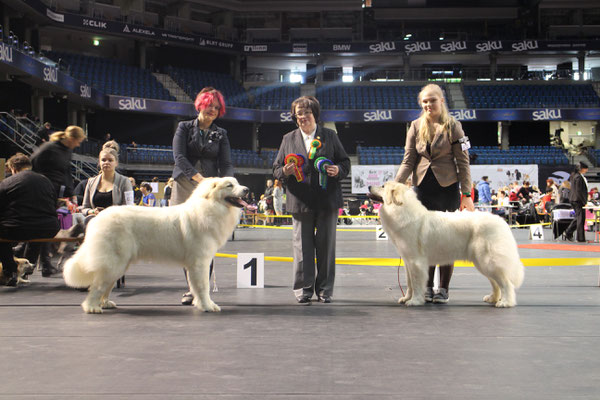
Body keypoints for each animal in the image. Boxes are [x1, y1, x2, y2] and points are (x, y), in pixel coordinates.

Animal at [62, 177, 247, 312]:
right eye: (230, 185)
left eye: (237, 183)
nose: (246, 189)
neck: (210, 206)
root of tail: (98, 217)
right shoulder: (199, 263)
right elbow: (203, 286)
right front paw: (208, 306)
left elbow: (197, 287)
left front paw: (200, 304)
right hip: (114, 262)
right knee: (97, 286)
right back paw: (92, 307)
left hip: (119, 264)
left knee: (106, 285)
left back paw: (105, 303)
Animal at [370, 182, 524, 310]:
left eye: (383, 186)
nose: (369, 187)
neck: (402, 211)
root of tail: (502, 222)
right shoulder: (408, 262)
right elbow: (409, 284)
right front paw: (406, 298)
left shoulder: (416, 262)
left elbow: (416, 283)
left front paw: (415, 301)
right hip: (482, 262)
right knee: (495, 283)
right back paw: (493, 298)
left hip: (488, 261)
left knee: (506, 283)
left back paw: (505, 302)